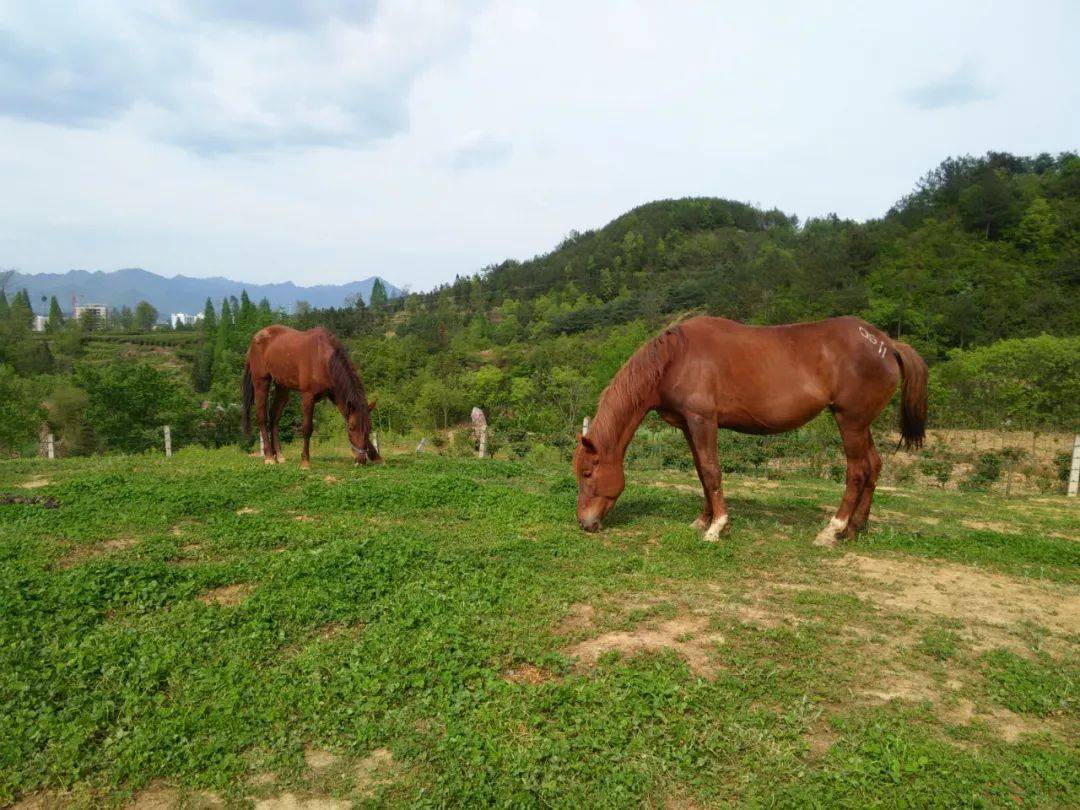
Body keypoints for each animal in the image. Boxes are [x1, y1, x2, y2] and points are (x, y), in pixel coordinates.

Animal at [241, 326, 384, 468]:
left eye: (369, 427)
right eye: (351, 427)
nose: (361, 460)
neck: (323, 358)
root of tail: (256, 338)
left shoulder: (336, 397)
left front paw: (376, 457)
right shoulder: (308, 397)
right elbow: (307, 428)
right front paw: (305, 461)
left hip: (282, 386)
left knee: (274, 416)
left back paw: (279, 455)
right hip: (261, 382)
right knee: (262, 417)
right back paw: (269, 456)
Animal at [574, 315, 928, 546]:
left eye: (588, 473)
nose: (585, 523)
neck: (676, 358)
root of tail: (886, 343)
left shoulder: (703, 420)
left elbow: (711, 471)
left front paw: (717, 527)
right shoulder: (689, 425)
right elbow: (702, 472)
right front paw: (703, 520)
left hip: (850, 421)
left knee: (857, 471)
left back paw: (831, 530)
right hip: (861, 424)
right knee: (873, 466)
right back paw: (854, 528)